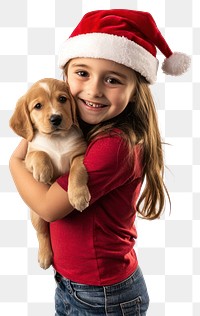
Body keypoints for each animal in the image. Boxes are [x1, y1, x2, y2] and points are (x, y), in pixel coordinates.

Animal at [9, 79, 90, 270]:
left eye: (62, 99)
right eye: (38, 106)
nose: (56, 118)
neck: (57, 139)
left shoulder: (80, 153)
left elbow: (76, 171)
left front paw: (78, 196)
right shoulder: (28, 157)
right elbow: (39, 153)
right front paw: (43, 172)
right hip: (37, 215)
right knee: (42, 233)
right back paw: (44, 256)